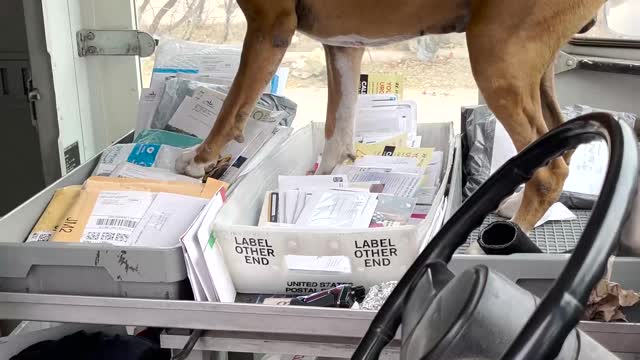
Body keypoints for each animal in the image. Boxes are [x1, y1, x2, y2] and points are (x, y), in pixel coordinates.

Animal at [175, 0, 604, 233]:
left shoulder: (270, 27)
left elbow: (232, 105)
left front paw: (199, 159)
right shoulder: (343, 47)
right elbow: (337, 127)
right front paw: (322, 185)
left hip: (498, 58)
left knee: (550, 171)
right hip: (532, 66)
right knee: (560, 141)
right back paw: (516, 205)